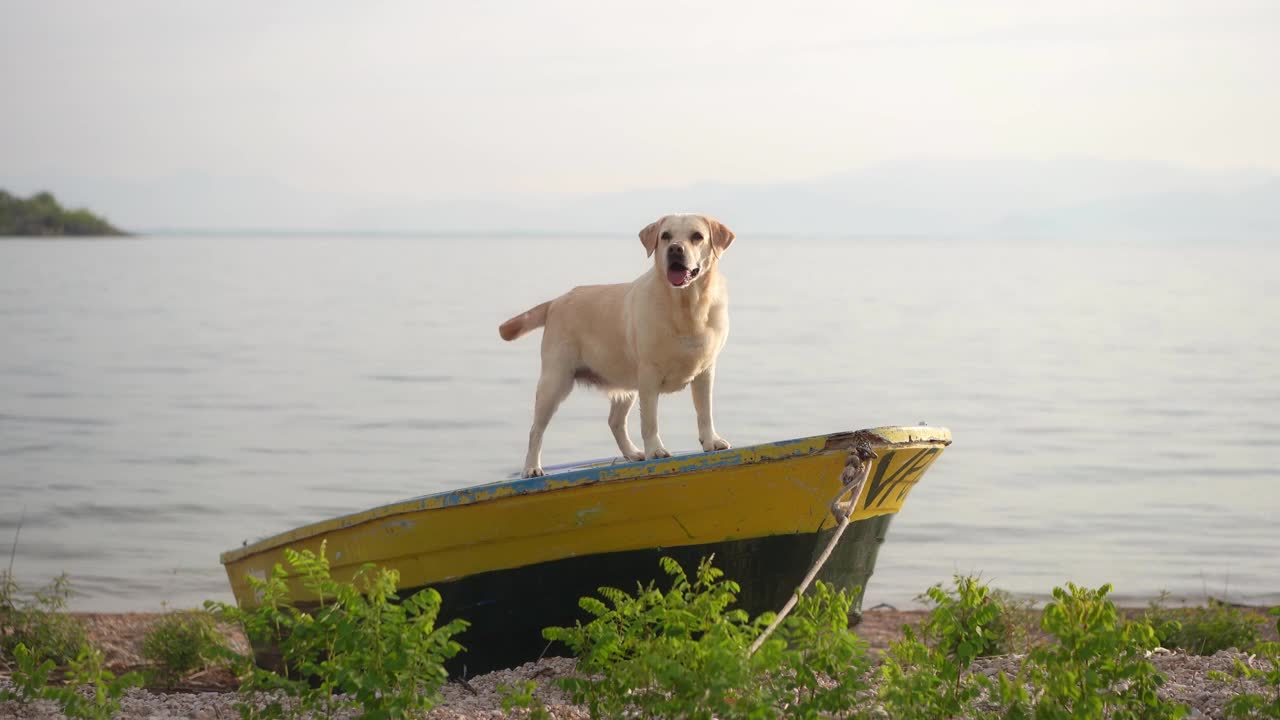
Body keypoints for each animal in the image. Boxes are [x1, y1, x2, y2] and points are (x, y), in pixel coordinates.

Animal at [501, 212, 742, 476]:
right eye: (665, 236)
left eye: (697, 236)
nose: (675, 249)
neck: (687, 307)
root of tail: (556, 301)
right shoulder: (649, 373)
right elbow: (650, 421)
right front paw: (655, 450)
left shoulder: (705, 370)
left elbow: (704, 412)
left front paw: (711, 441)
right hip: (555, 380)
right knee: (536, 430)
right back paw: (531, 468)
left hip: (625, 386)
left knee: (615, 421)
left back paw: (633, 453)